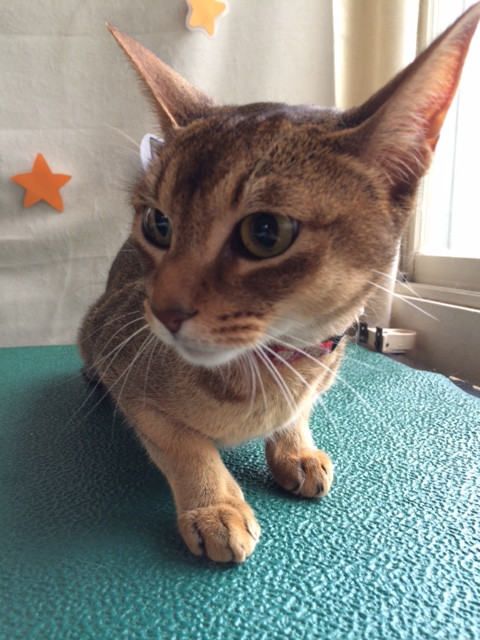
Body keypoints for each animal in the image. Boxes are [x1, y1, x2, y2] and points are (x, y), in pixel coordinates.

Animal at [79, 4, 480, 563]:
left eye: (266, 232)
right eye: (158, 224)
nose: (161, 311)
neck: (272, 366)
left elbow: (300, 410)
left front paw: (297, 449)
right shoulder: (126, 363)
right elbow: (182, 442)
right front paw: (216, 506)